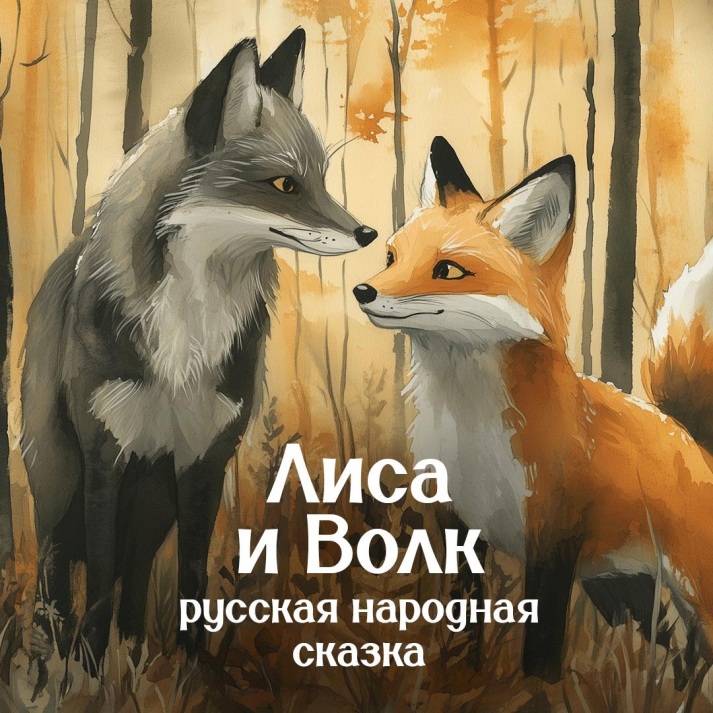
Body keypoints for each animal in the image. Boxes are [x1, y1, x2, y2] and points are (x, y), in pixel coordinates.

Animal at [21, 28, 377, 672]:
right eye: (284, 185)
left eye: (321, 178)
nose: (368, 234)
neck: (186, 339)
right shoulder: (106, 458)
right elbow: (99, 584)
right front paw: (88, 672)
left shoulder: (203, 460)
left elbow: (190, 579)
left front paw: (191, 672)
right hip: (60, 487)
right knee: (56, 577)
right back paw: (50, 661)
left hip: (151, 507)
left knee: (136, 582)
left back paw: (136, 657)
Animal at [353, 136, 713, 684]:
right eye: (391, 255)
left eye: (448, 270)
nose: (363, 290)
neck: (470, 429)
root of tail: (690, 436)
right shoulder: (458, 525)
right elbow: (464, 622)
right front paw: (461, 682)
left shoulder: (553, 537)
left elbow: (541, 648)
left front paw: (534, 692)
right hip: (621, 591)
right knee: (671, 652)